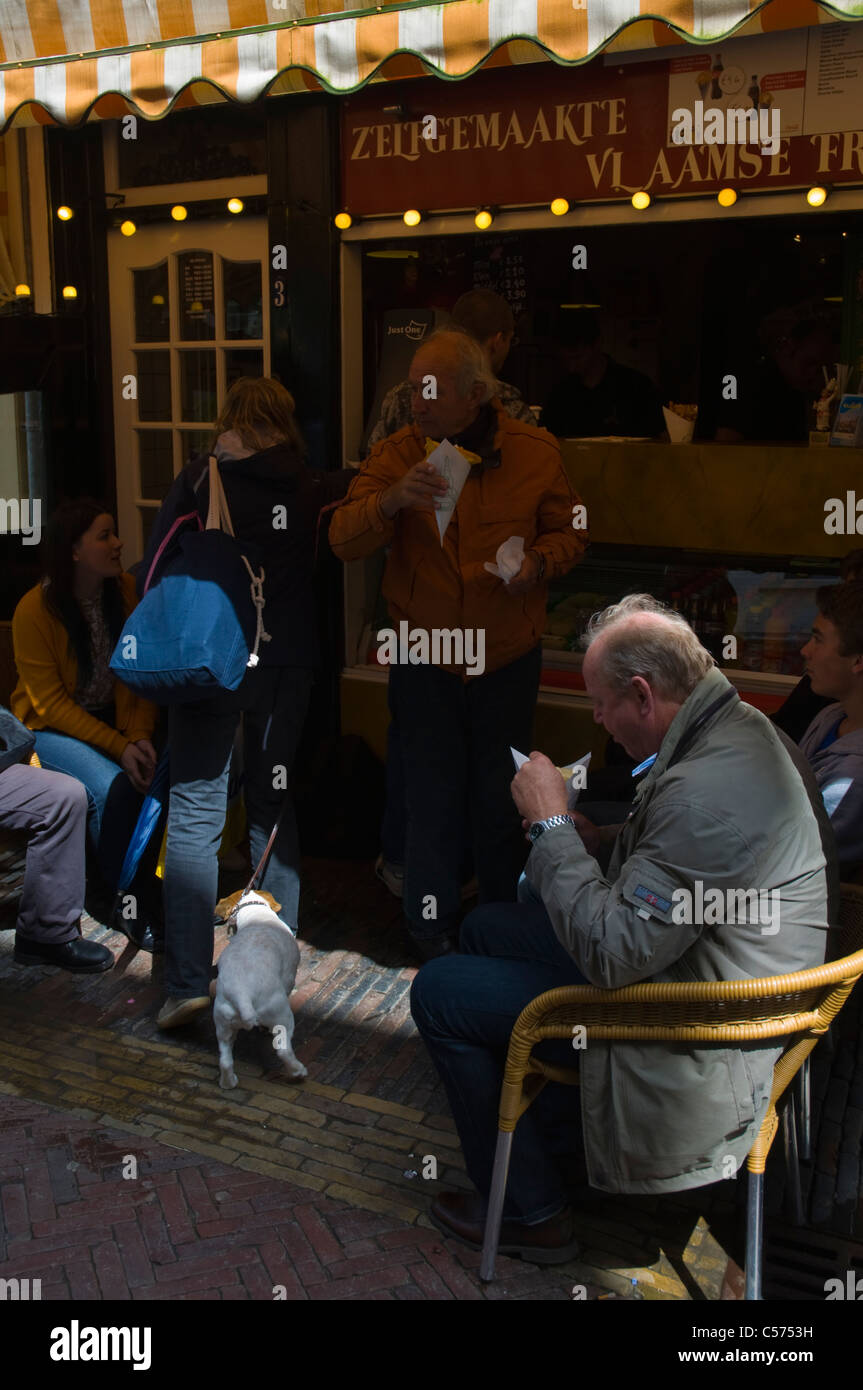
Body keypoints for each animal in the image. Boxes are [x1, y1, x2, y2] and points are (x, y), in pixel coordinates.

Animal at [212, 895, 305, 1089]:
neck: (255, 915)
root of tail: (242, 992)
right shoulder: (289, 977)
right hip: (282, 1017)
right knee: (283, 1051)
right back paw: (298, 1072)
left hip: (223, 1026)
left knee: (225, 1060)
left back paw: (228, 1082)